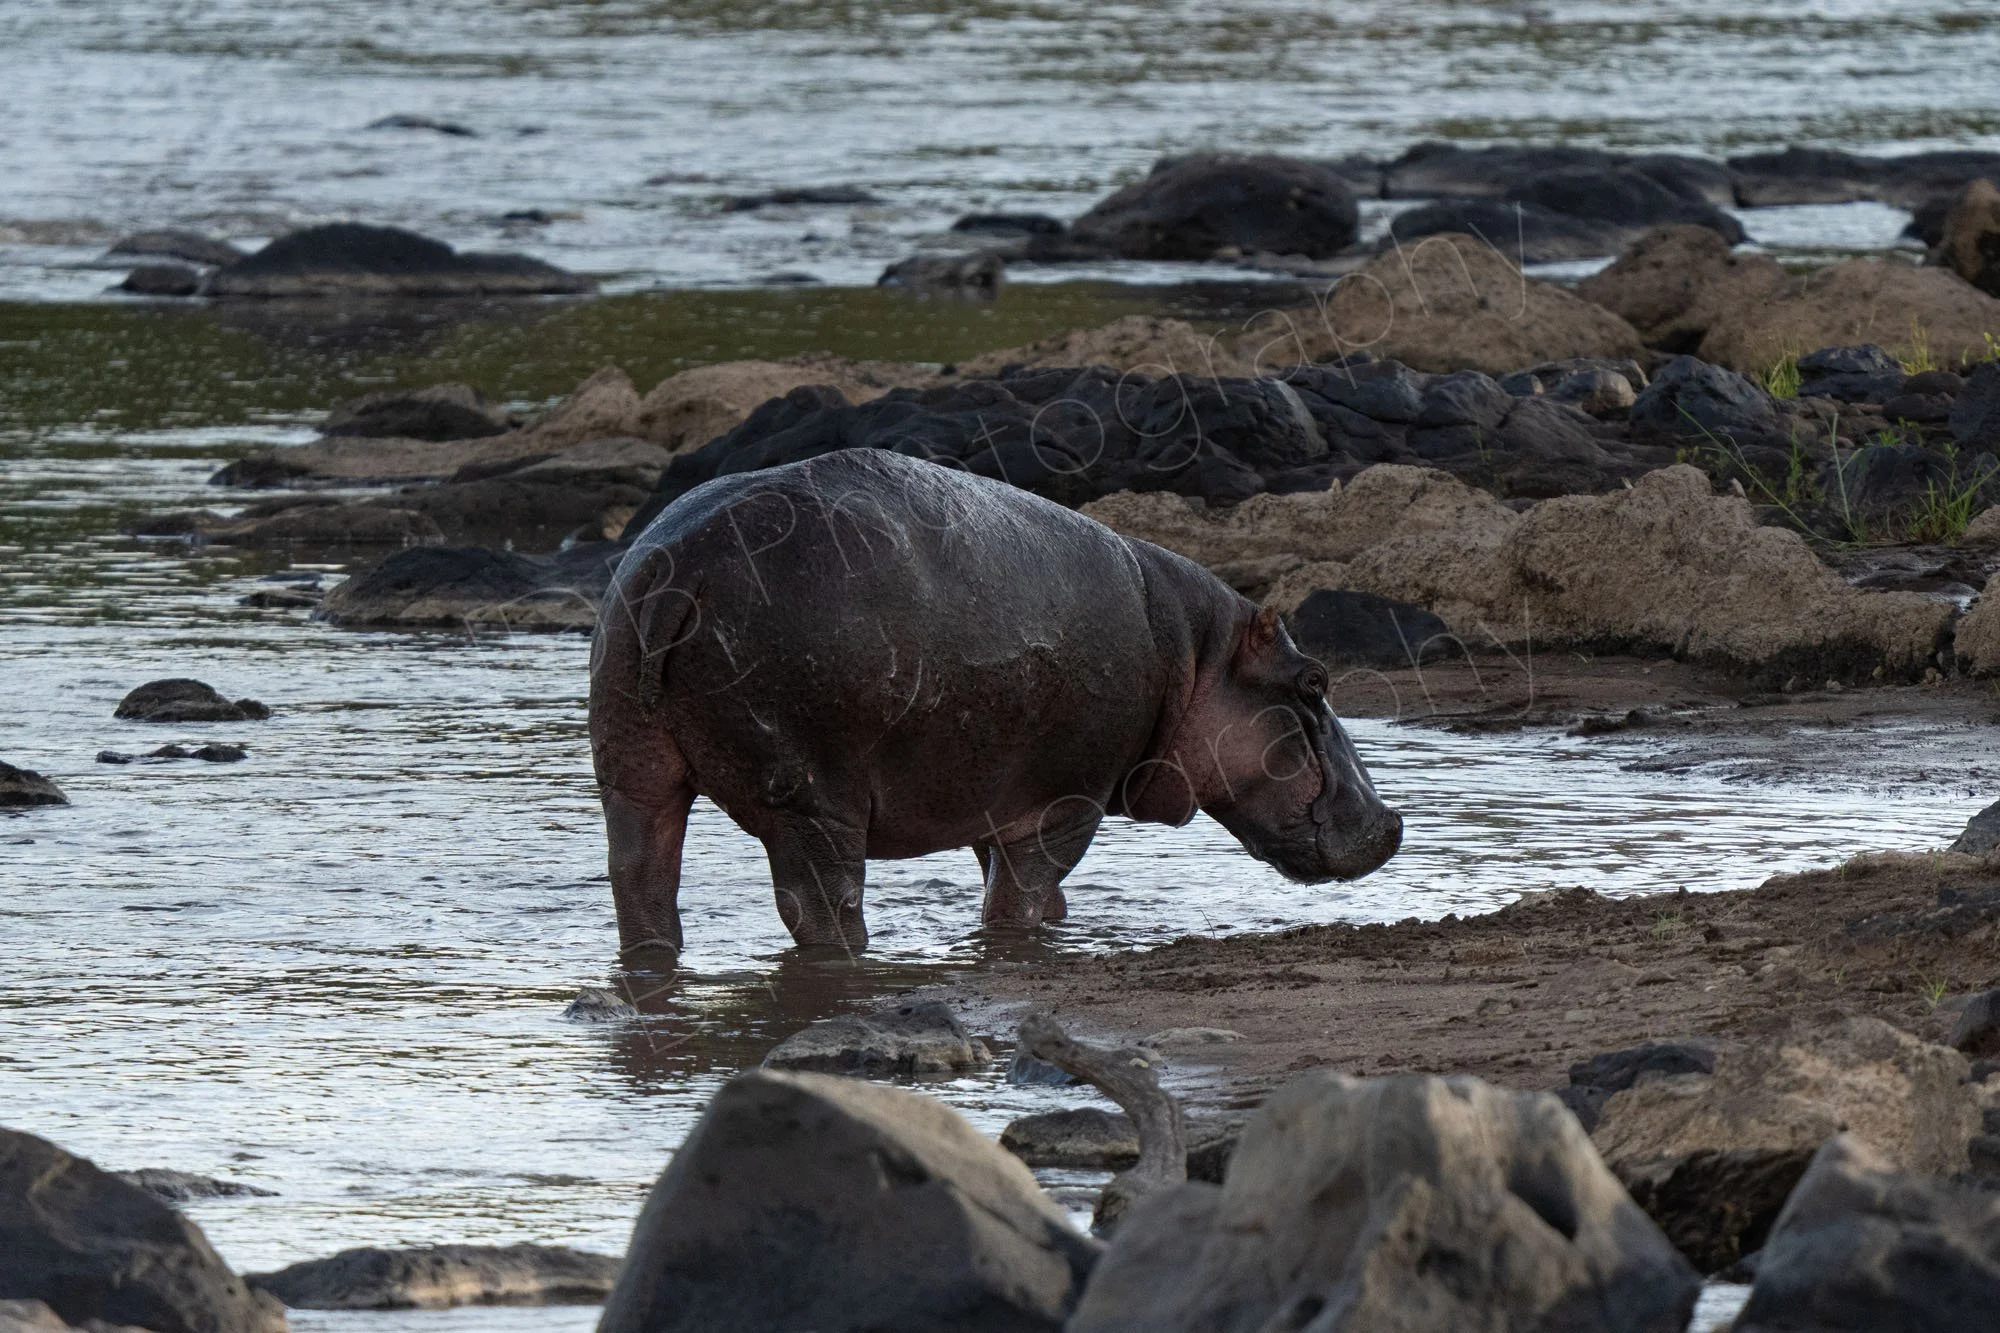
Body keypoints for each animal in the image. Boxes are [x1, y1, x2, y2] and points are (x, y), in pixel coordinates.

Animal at [589, 448, 1401, 955]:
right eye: (1315, 681)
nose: (1393, 821)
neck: (1197, 654)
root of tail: (677, 565)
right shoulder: (1068, 799)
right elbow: (1023, 892)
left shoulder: (1002, 787)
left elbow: (1020, 885)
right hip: (813, 799)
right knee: (820, 902)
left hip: (632, 770)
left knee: (640, 877)